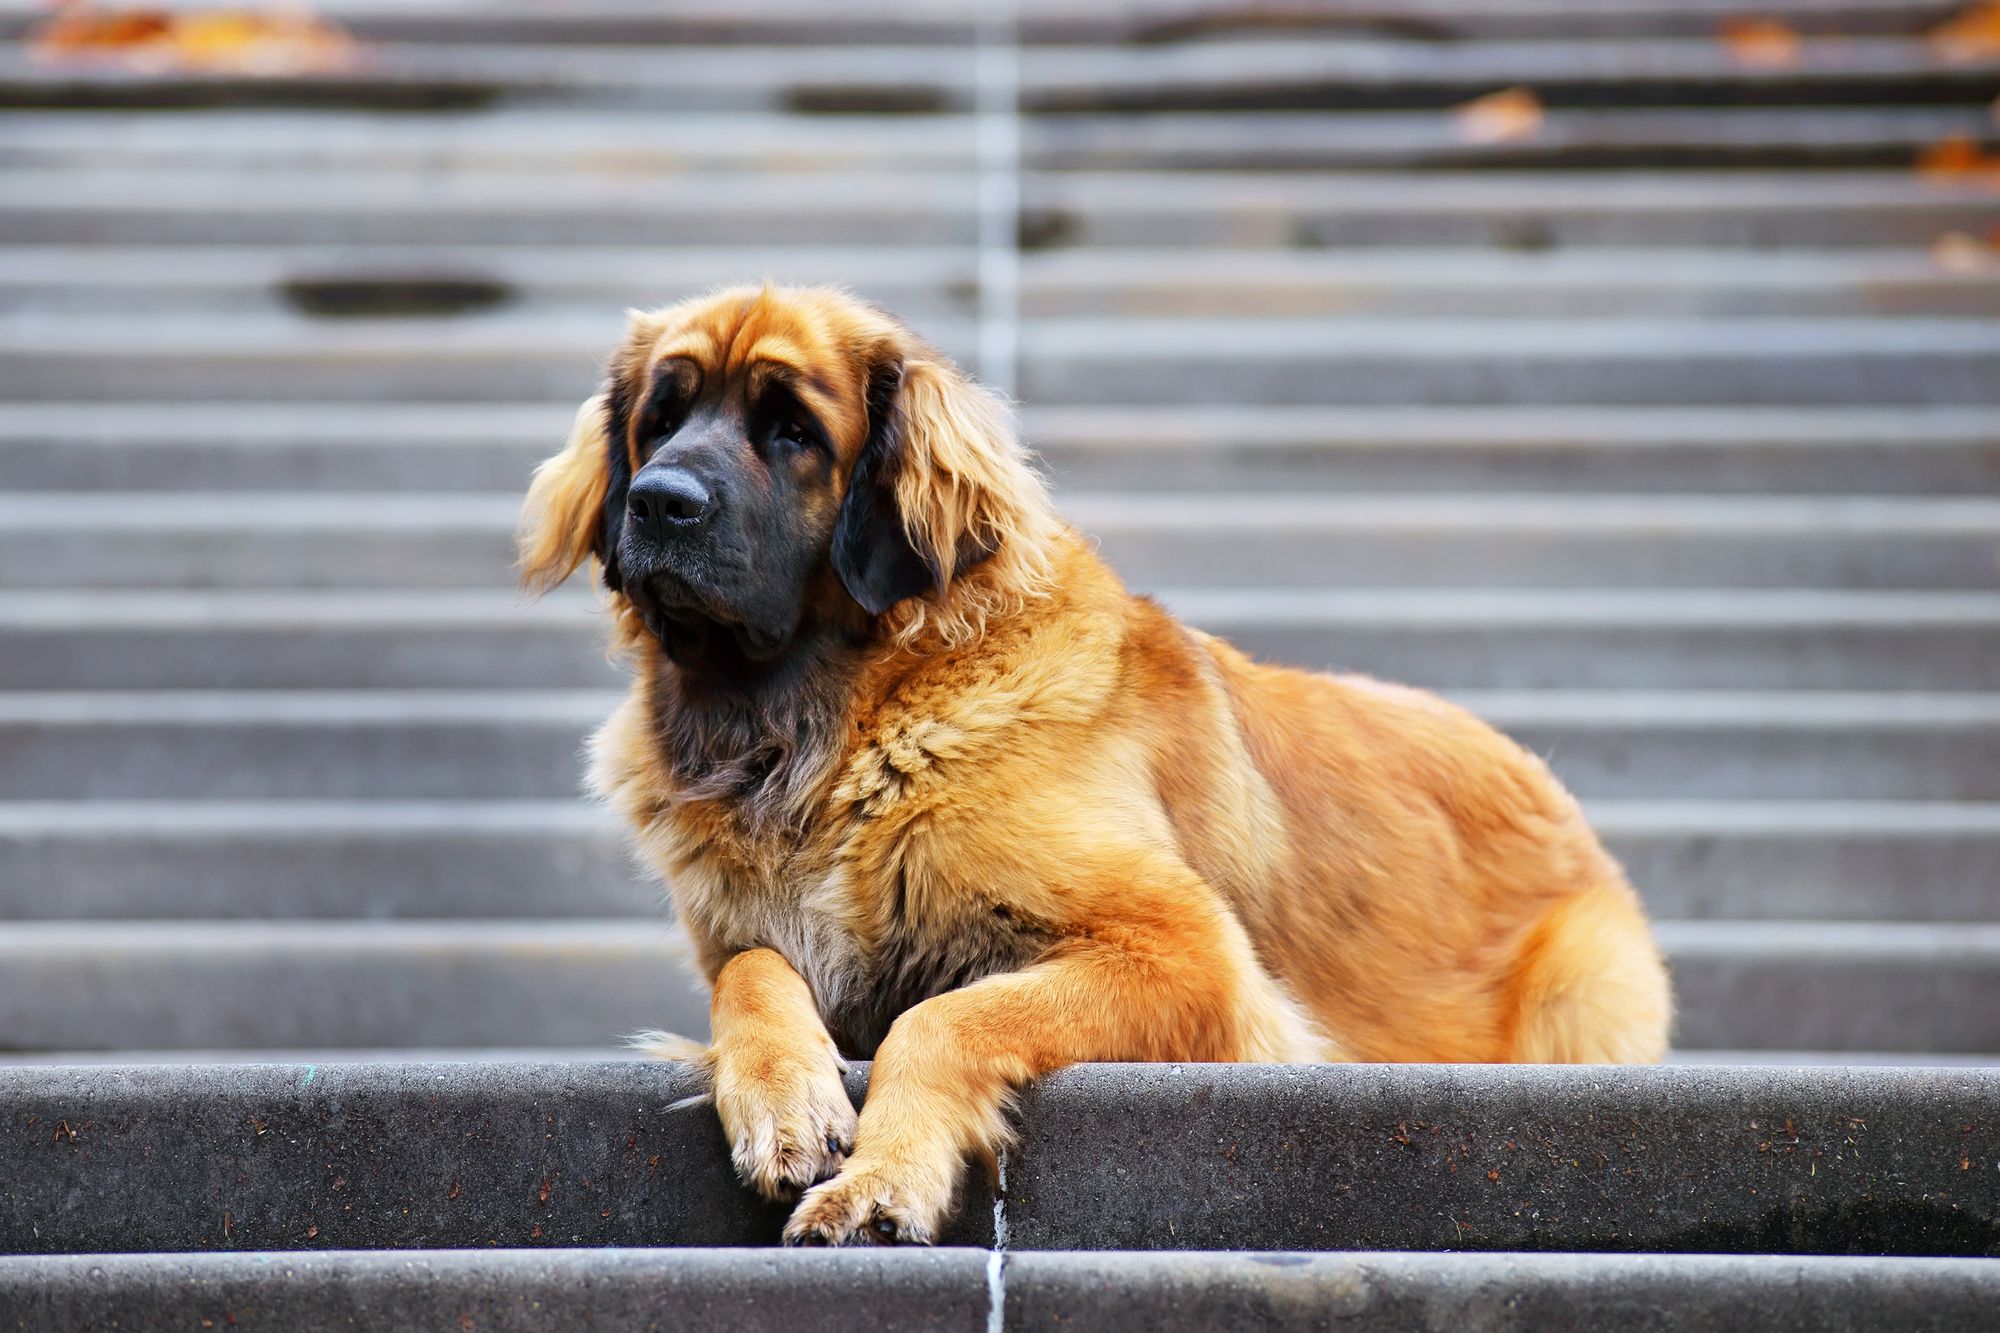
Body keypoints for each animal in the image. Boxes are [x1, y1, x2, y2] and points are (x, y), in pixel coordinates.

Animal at [516, 282, 1672, 1248]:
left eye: (793, 431)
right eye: (661, 419)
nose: (659, 500)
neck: (836, 725)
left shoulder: (1187, 953)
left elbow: (944, 1015)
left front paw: (882, 1178)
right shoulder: (751, 938)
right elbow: (752, 973)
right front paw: (783, 1097)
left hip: (1584, 981)